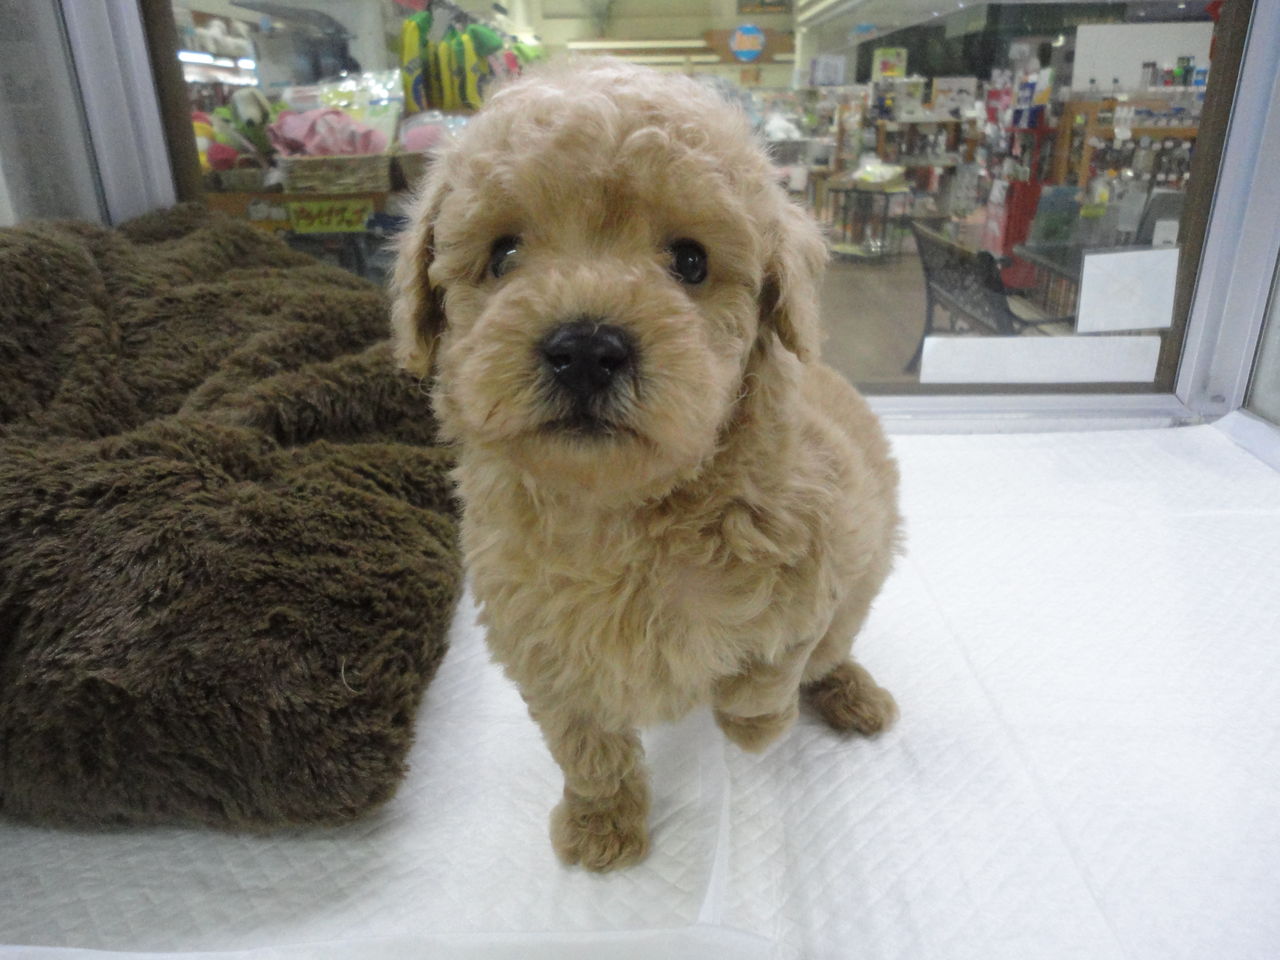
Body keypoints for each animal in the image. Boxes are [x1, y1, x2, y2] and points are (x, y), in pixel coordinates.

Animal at [391, 59, 901, 872]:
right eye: (503, 255)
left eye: (690, 261)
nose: (586, 349)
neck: (622, 515)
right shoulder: (544, 647)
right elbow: (585, 745)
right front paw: (602, 825)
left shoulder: (818, 565)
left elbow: (771, 668)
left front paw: (752, 728)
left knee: (833, 650)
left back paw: (853, 695)